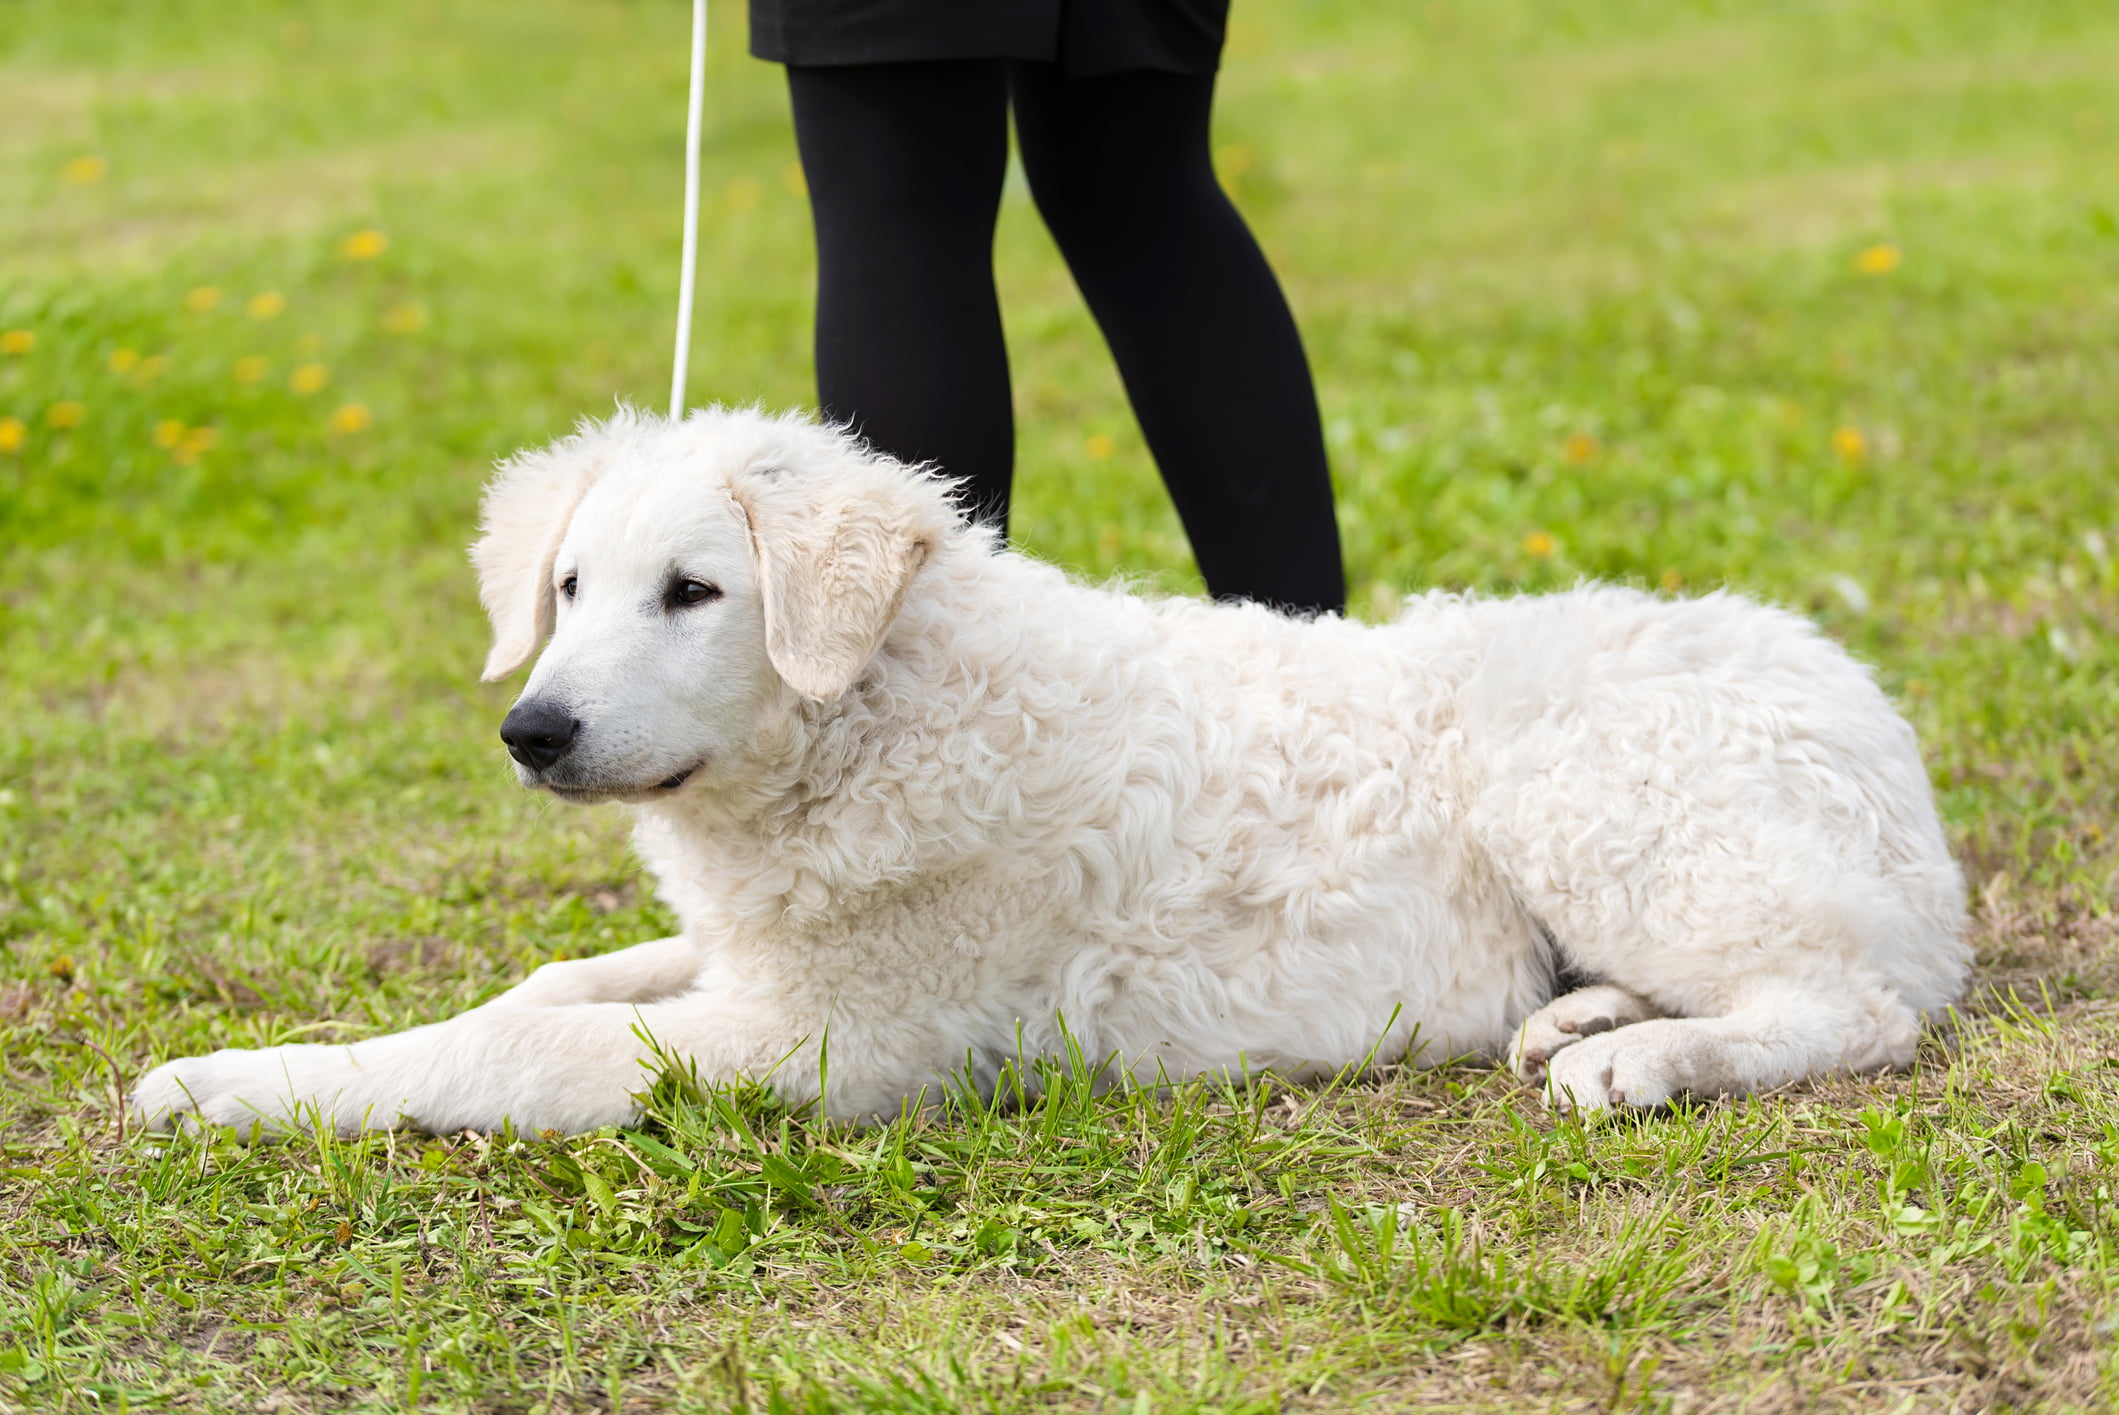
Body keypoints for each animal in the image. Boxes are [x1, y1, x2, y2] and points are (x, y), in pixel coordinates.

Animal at [136, 402, 1966, 1135]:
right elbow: (545, 985)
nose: (533, 732)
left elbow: (506, 1053)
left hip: (1588, 797)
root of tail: (1868, 716)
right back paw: (1574, 1015)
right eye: (568, 589)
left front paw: (235, 1086)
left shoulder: (816, 1045)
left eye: (694, 593)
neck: (876, 714)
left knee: (1856, 1008)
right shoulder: (752, 961)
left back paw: (1636, 1062)